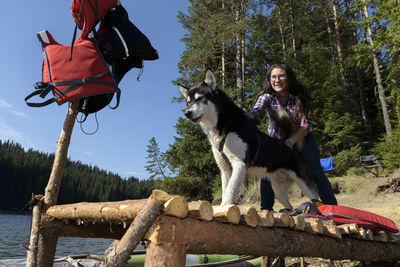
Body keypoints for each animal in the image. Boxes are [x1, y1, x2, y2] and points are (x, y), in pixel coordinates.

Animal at [178, 69, 318, 209]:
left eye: (200, 98)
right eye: (188, 102)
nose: (187, 113)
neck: (227, 126)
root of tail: (292, 147)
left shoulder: (239, 164)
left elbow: (229, 191)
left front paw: (225, 206)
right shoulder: (225, 169)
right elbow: (225, 190)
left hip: (307, 187)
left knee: (316, 200)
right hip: (279, 191)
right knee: (289, 207)